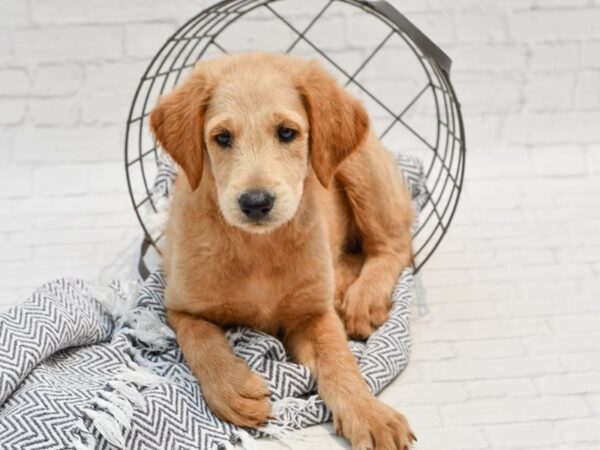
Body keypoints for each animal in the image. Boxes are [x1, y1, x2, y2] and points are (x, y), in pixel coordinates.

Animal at [151, 53, 418, 450]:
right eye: (222, 137)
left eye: (287, 133)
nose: (256, 202)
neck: (257, 247)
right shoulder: (180, 306)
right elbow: (201, 340)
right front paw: (233, 389)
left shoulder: (313, 315)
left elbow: (340, 360)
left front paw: (367, 412)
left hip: (362, 171)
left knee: (396, 245)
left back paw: (364, 298)